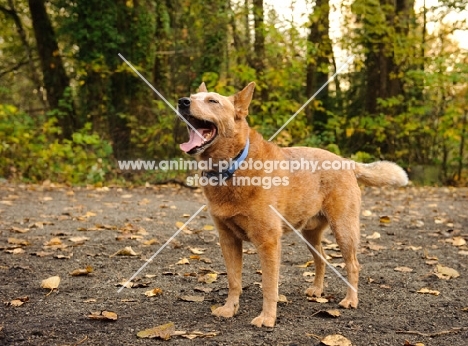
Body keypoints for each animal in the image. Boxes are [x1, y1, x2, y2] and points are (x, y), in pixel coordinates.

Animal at [177, 82, 408, 328]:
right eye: (192, 96)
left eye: (213, 101)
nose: (182, 102)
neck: (233, 166)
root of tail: (346, 162)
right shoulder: (228, 240)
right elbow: (234, 280)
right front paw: (230, 309)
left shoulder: (268, 242)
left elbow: (269, 286)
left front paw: (267, 317)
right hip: (309, 234)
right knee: (322, 258)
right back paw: (317, 290)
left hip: (344, 230)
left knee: (353, 265)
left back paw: (350, 299)